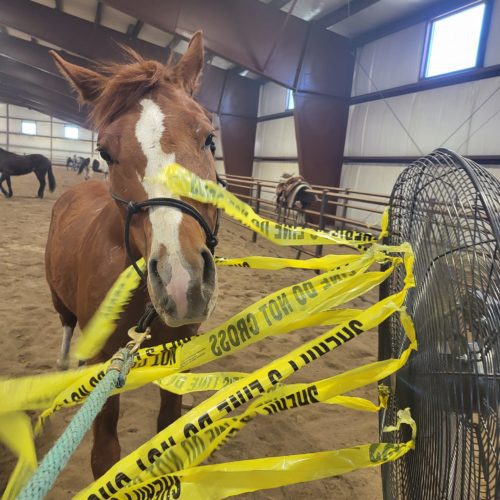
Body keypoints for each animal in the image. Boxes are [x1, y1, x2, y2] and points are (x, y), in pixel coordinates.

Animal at [45, 33, 219, 478]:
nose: (182, 281)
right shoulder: (106, 366)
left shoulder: (180, 353)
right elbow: (105, 456)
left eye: (209, 138)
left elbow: (168, 426)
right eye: (105, 153)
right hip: (58, 300)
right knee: (65, 325)